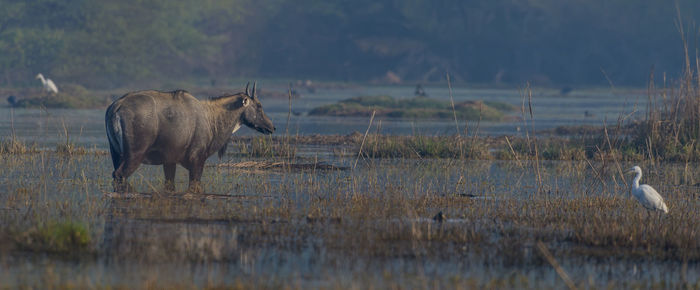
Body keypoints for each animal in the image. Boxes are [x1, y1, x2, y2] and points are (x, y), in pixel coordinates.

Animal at [105, 82, 274, 194]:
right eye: (259, 106)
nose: (272, 127)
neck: (211, 119)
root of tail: (115, 107)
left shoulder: (169, 161)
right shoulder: (197, 161)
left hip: (116, 153)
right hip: (135, 155)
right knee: (119, 175)